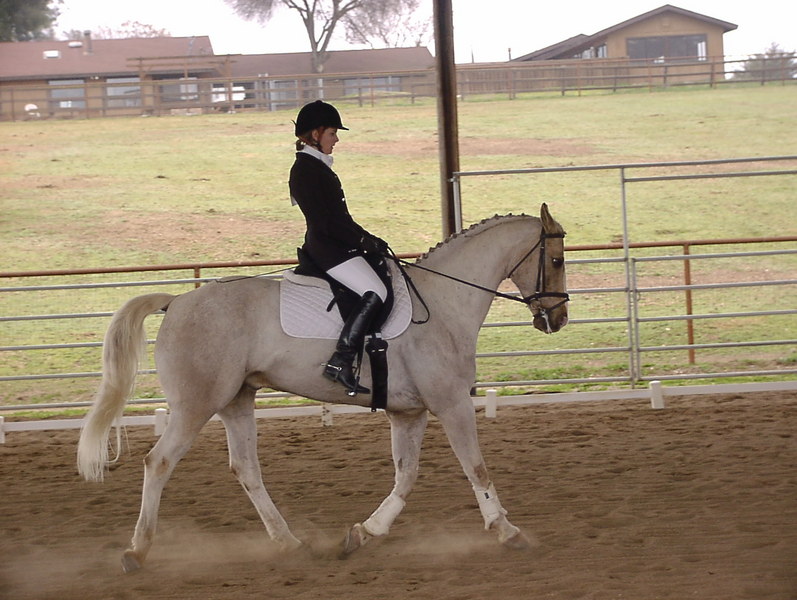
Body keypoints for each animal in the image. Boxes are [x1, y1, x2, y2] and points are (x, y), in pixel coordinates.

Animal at [77, 203, 569, 573]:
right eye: (557, 260)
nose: (559, 319)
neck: (443, 304)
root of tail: (177, 301)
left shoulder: (408, 412)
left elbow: (406, 476)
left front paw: (363, 533)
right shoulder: (451, 405)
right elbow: (477, 468)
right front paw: (508, 532)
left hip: (236, 401)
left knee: (246, 469)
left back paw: (289, 543)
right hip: (196, 406)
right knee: (158, 462)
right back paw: (137, 552)